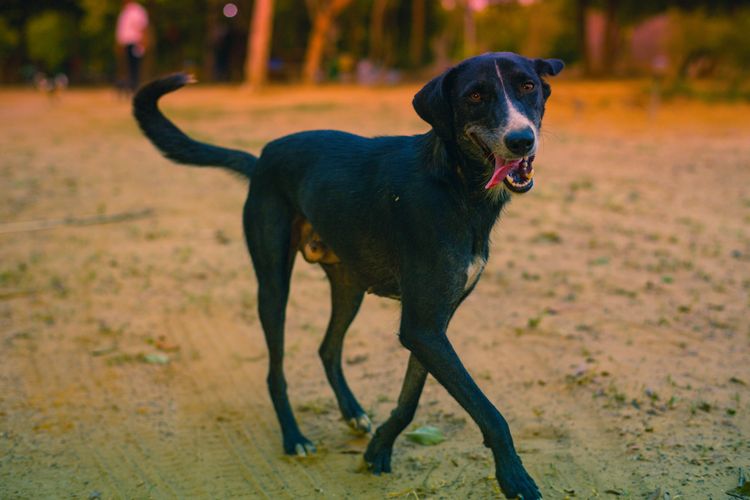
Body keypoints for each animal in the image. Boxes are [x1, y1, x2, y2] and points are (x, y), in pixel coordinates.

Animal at [134, 52, 564, 498]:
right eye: (475, 95)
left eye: (528, 86)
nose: (521, 140)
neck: (455, 183)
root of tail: (262, 158)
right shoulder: (422, 327)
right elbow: (488, 410)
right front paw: (515, 476)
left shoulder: (431, 326)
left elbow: (410, 400)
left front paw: (378, 449)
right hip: (273, 285)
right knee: (275, 370)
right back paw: (294, 437)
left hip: (349, 284)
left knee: (327, 347)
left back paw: (352, 412)